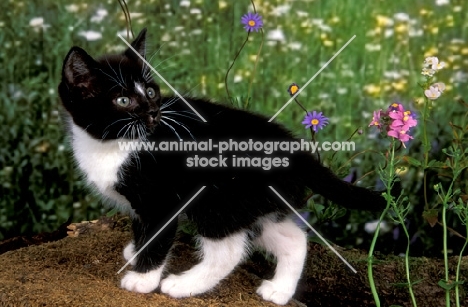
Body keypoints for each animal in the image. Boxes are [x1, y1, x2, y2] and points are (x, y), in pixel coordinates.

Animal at [58, 28, 386, 306]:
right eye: (123, 100)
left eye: (150, 92)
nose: (153, 113)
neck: (112, 145)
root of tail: (293, 147)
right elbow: (142, 228)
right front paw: (135, 251)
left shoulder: (162, 200)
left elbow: (158, 235)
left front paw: (143, 278)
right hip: (254, 202)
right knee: (294, 238)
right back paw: (279, 291)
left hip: (217, 199)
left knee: (228, 251)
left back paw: (184, 285)